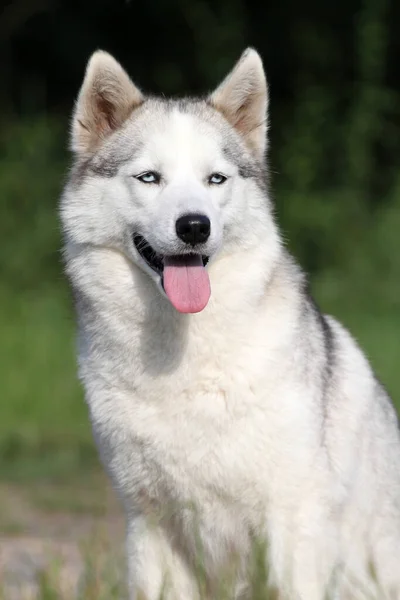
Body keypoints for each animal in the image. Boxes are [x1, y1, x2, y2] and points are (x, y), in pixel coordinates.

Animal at [59, 48, 400, 600]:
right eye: (149, 177)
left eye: (215, 179)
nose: (194, 226)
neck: (184, 361)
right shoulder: (151, 526)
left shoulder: (293, 522)